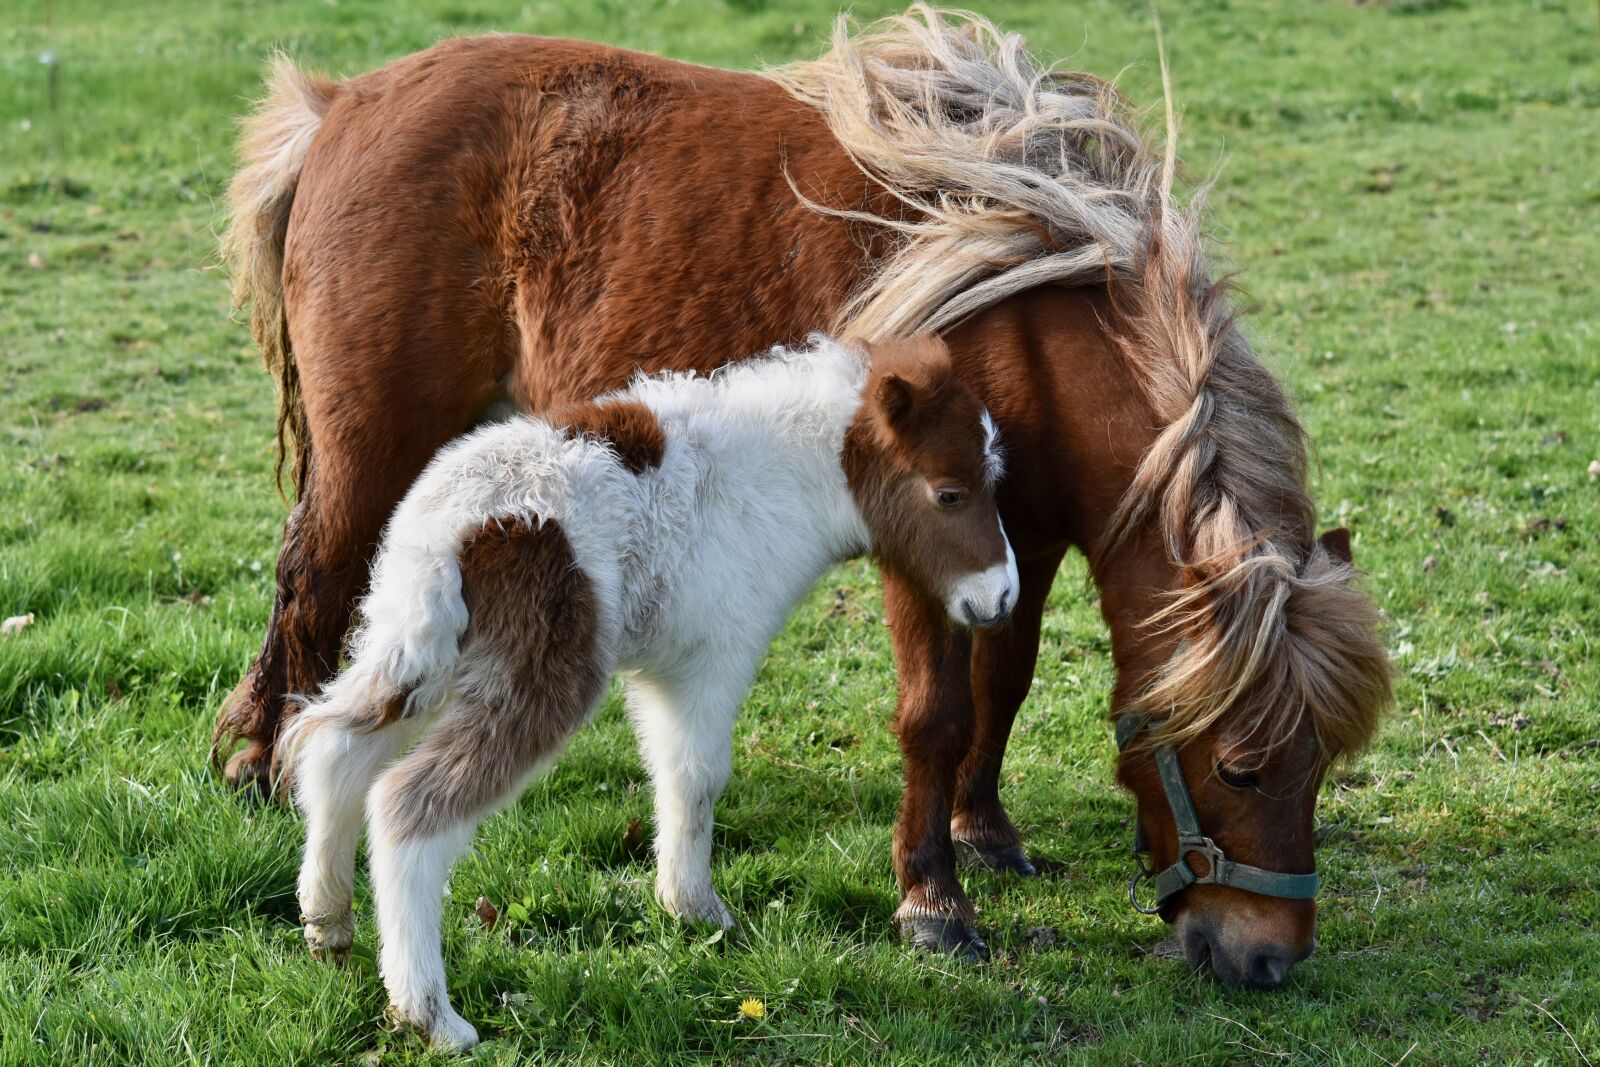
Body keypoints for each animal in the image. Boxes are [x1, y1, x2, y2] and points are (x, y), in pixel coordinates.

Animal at [284, 334, 1017, 1049]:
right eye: (949, 494)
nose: (1003, 596)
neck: (776, 476)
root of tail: (451, 529)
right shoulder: (712, 658)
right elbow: (697, 778)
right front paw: (699, 910)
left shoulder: (666, 675)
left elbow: (670, 775)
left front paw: (683, 907)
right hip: (539, 670)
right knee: (407, 804)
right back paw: (430, 1015)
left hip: (416, 645)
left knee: (335, 753)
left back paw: (329, 925)